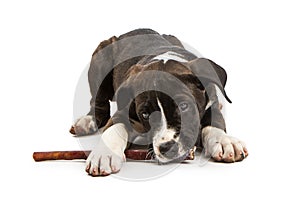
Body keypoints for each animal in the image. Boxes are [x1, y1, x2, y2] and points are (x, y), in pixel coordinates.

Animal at [71, 28, 248, 176]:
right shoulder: (123, 111)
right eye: (145, 114)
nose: (167, 147)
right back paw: (87, 121)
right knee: (97, 100)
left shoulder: (211, 101)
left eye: (184, 106)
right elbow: (114, 128)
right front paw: (103, 154)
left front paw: (225, 141)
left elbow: (215, 122)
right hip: (101, 56)